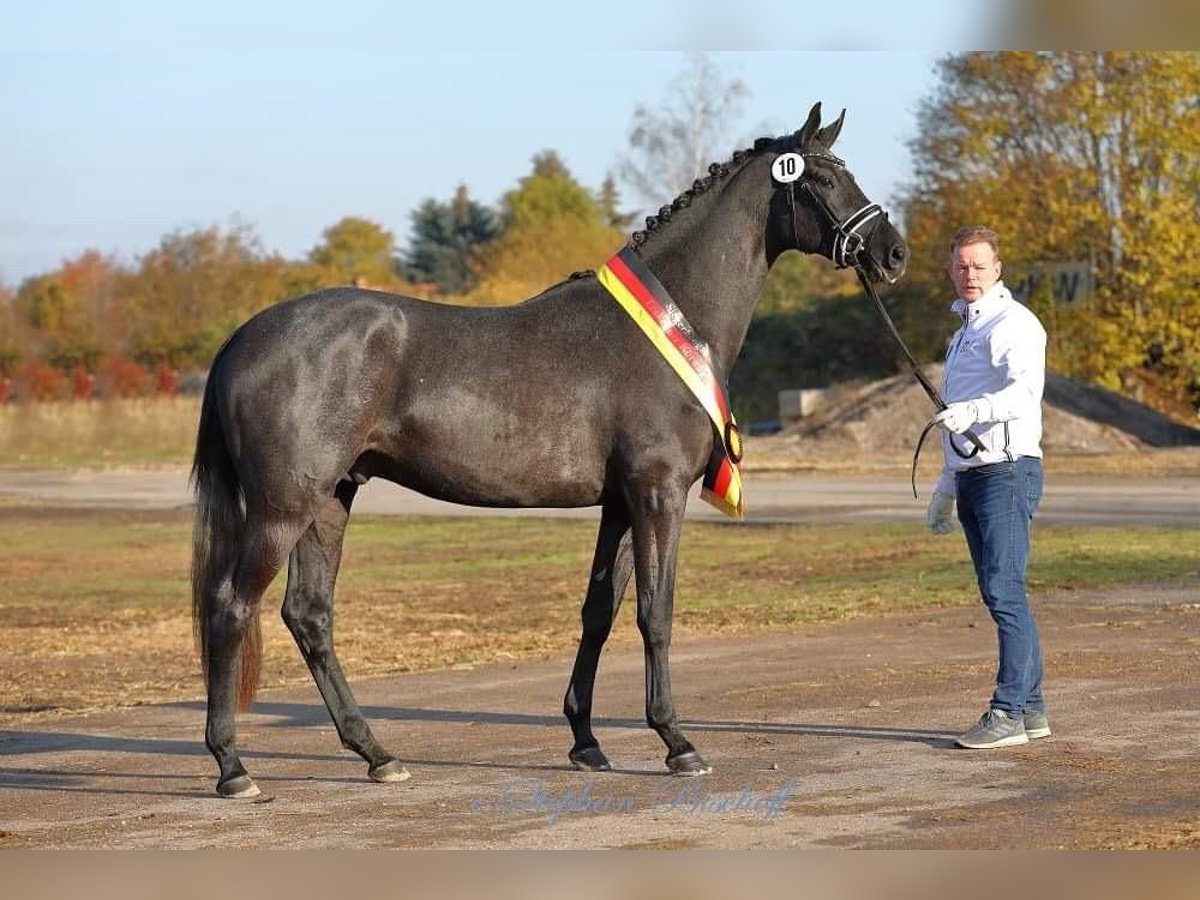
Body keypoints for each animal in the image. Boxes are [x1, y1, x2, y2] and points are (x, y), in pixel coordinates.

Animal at [192, 102, 902, 801]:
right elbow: (656, 612)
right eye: (824, 178)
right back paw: (233, 767)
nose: (893, 252)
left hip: (331, 500)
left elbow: (599, 613)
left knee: (308, 615)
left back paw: (376, 754)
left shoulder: (621, 504)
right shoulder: (658, 494)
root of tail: (242, 338)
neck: (672, 325)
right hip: (285, 505)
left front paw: (586, 742)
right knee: (230, 606)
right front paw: (677, 742)